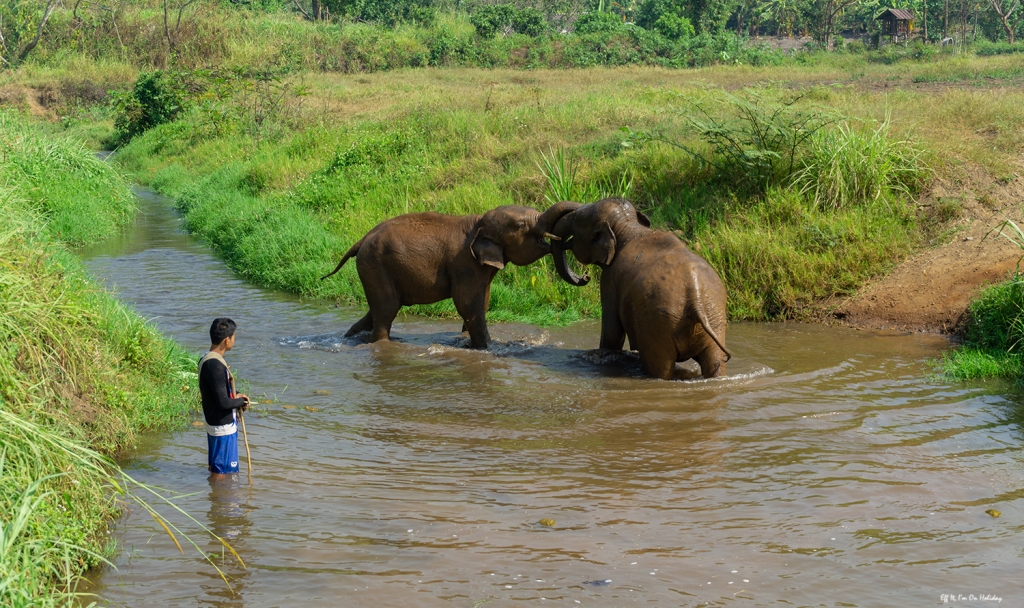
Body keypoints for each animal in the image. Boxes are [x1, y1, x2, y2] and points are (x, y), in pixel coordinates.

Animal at [319, 202, 577, 348]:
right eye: (522, 225)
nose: (583, 278)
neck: (478, 222)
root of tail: (361, 240)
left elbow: (482, 304)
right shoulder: (464, 264)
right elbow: (469, 305)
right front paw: (487, 349)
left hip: (373, 269)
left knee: (374, 312)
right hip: (375, 265)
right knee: (385, 312)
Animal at [548, 197, 733, 378]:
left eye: (576, 219)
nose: (585, 277)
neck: (627, 226)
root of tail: (696, 300)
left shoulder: (609, 279)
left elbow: (612, 332)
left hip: (656, 323)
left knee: (659, 368)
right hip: (713, 316)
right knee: (714, 361)